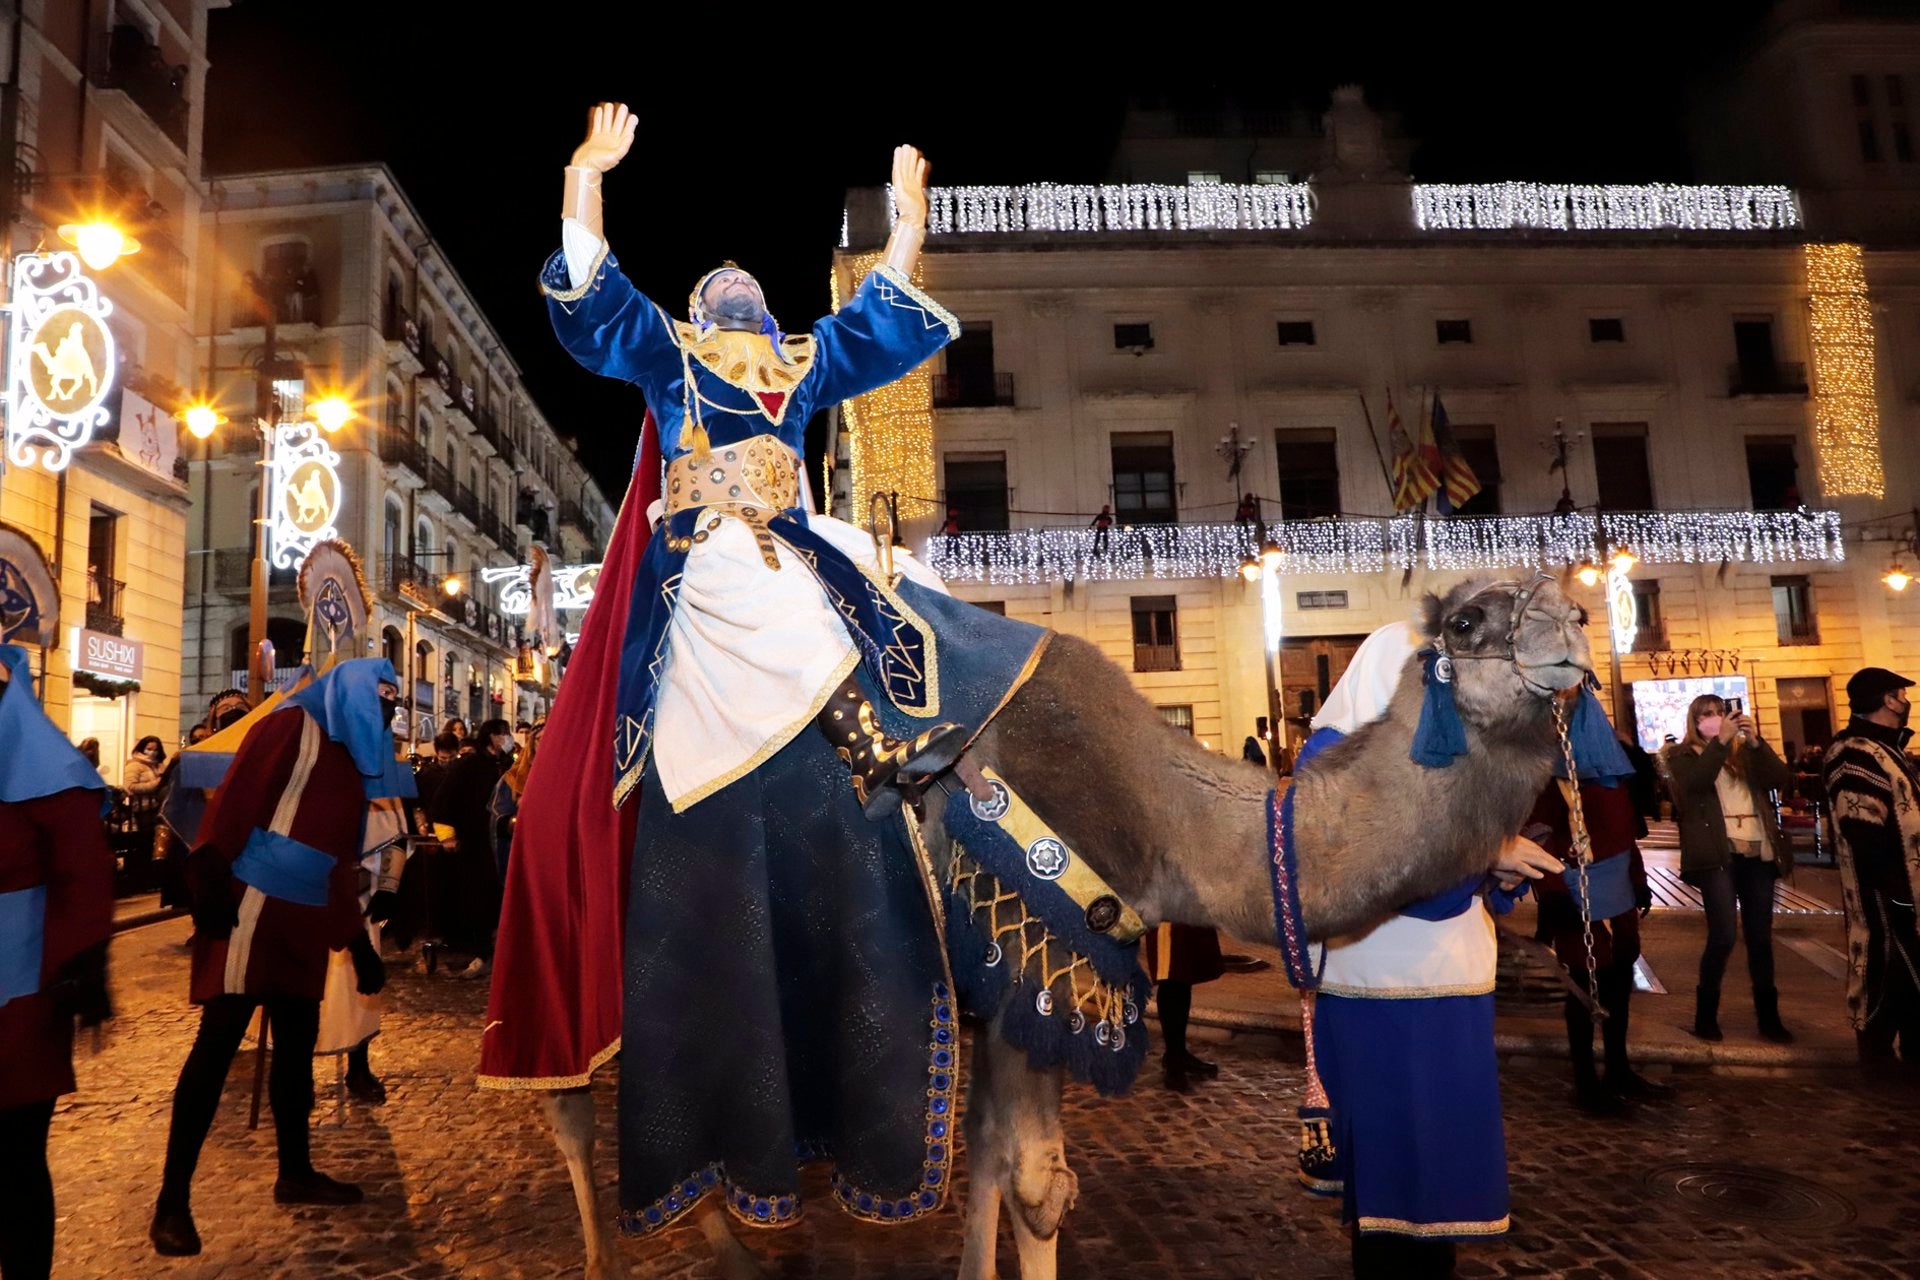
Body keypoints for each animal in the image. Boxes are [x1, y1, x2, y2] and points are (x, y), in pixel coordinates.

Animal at [537, 575, 1589, 1274]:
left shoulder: (1015, 995)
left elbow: (999, 1168)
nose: (1577, 629)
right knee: (571, 1103)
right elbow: (1038, 1185)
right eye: (1469, 619)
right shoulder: (1035, 965)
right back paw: (603, 1252)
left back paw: (723, 1238)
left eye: (1555, 590)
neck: (1170, 828)